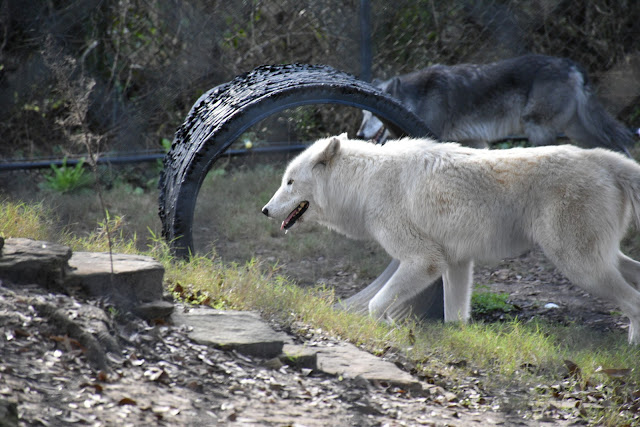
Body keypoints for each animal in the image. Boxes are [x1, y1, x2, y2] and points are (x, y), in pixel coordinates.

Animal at [262, 135, 640, 346]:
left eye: (290, 182)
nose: (265, 210)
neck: (364, 183)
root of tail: (603, 159)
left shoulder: (424, 260)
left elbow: (375, 305)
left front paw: (389, 330)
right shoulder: (456, 262)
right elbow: (455, 318)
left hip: (580, 267)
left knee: (633, 302)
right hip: (600, 259)